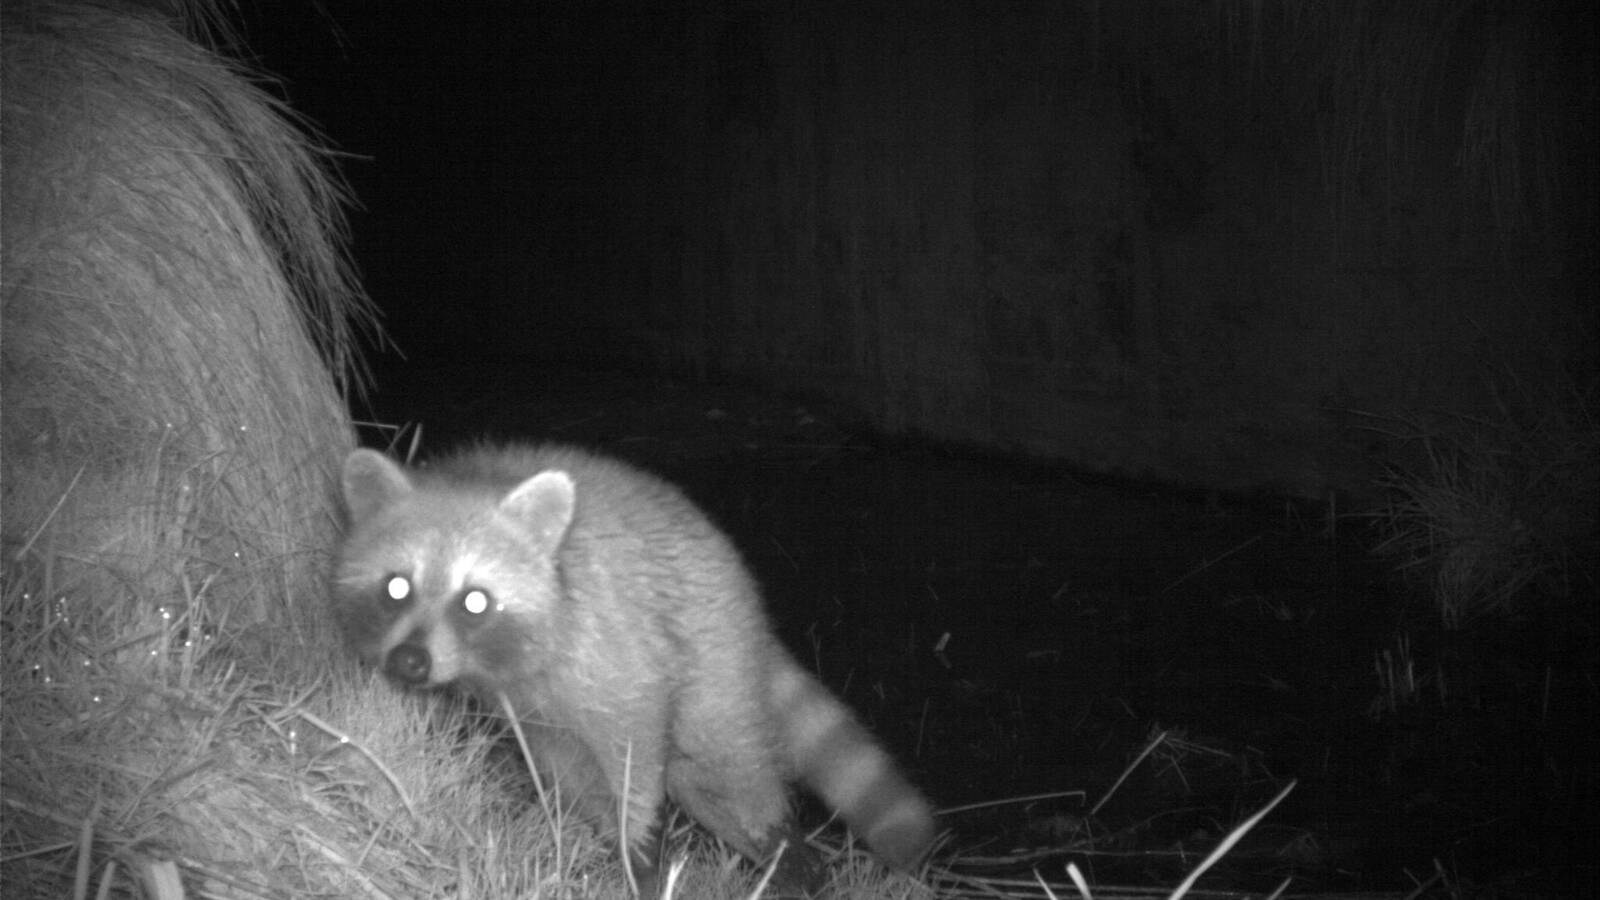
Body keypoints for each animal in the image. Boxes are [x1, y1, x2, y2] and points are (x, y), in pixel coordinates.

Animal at [334, 438, 934, 883]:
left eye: (474, 600)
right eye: (396, 588)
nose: (409, 662)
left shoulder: (615, 648)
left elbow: (636, 747)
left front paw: (639, 848)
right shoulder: (531, 708)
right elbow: (571, 775)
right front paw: (604, 836)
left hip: (708, 647)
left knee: (728, 770)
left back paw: (787, 855)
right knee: (688, 784)